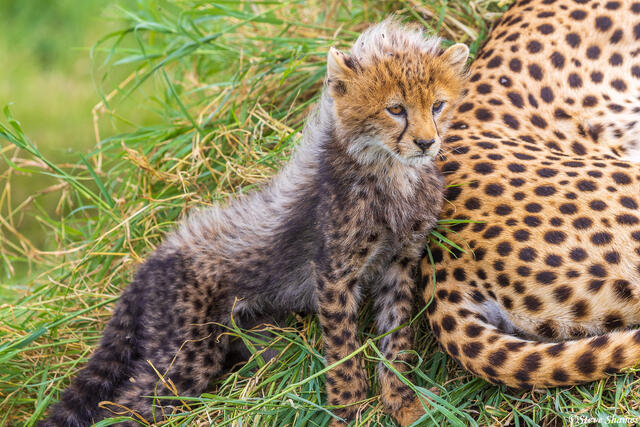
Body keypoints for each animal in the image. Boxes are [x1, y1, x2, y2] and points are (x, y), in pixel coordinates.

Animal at [40, 19, 469, 426]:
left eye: (437, 105)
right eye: (395, 109)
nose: (426, 143)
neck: (393, 173)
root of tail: (152, 260)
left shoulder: (401, 262)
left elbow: (396, 339)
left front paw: (403, 403)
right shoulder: (334, 274)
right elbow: (344, 352)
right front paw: (350, 411)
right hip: (185, 352)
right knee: (122, 407)